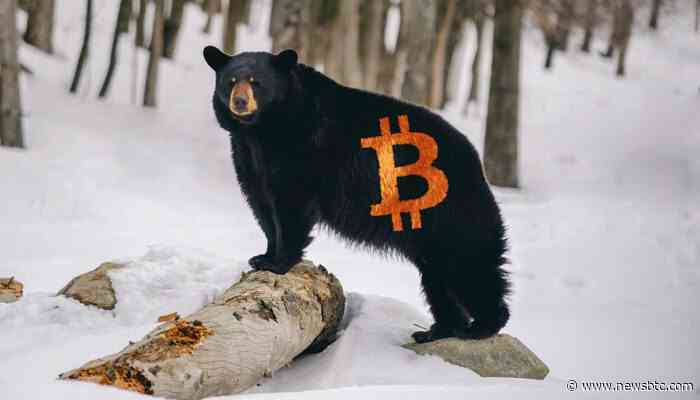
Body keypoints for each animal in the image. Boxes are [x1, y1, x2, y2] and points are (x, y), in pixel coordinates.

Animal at [203, 46, 510, 343]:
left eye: (256, 82)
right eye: (231, 81)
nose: (240, 102)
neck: (263, 129)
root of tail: (477, 166)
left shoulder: (303, 148)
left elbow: (292, 205)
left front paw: (278, 262)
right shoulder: (248, 155)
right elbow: (262, 205)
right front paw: (262, 256)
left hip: (450, 211)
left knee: (469, 267)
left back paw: (482, 326)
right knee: (439, 277)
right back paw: (437, 330)